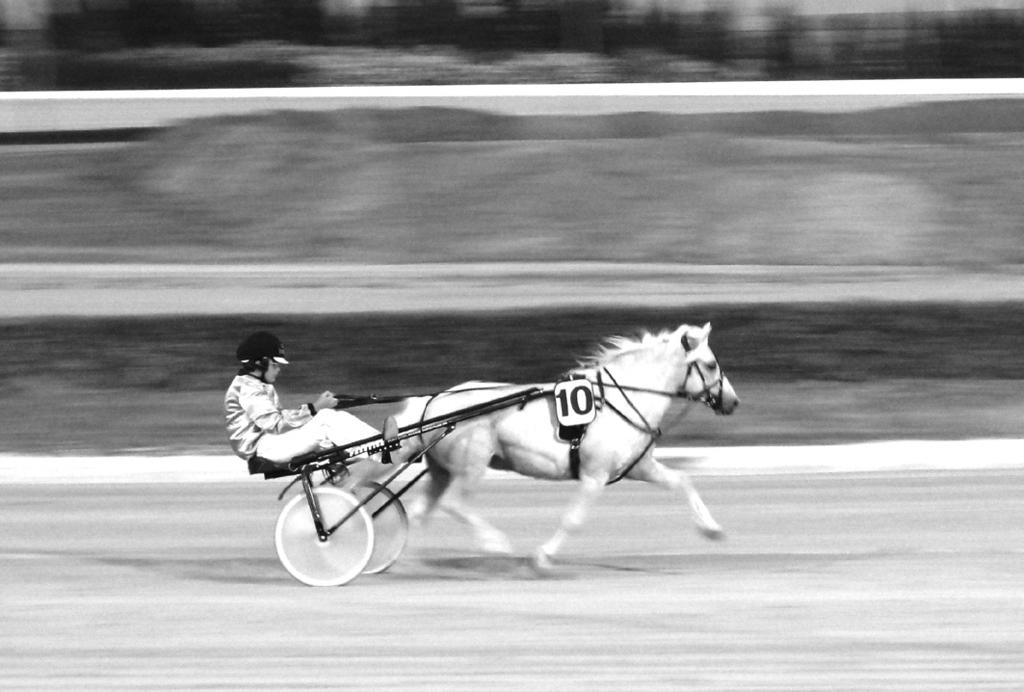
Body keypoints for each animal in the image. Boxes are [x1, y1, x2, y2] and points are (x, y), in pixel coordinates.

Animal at [389, 321, 737, 569]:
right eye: (709, 364)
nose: (732, 401)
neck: (619, 399)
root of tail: (434, 403)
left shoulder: (640, 466)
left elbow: (682, 480)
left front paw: (712, 529)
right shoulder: (595, 475)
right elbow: (574, 519)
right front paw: (542, 557)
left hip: (441, 470)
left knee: (421, 512)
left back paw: (412, 561)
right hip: (471, 464)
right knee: (454, 504)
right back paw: (494, 544)